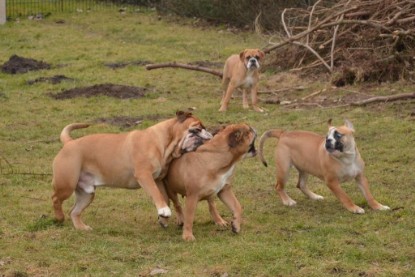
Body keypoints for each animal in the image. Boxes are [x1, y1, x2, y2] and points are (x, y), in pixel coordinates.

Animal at [52, 110, 213, 229]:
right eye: (198, 128)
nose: (209, 134)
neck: (164, 143)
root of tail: (70, 142)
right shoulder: (144, 175)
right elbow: (156, 193)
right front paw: (164, 211)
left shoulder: (158, 179)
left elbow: (164, 197)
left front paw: (163, 217)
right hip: (66, 184)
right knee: (55, 198)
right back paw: (59, 217)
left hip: (87, 193)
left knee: (74, 211)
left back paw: (82, 228)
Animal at [258, 119, 392, 213]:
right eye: (327, 137)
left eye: (338, 135)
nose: (327, 141)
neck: (346, 158)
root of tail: (283, 133)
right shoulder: (332, 182)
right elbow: (345, 197)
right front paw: (354, 208)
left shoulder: (361, 178)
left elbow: (369, 195)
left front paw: (378, 206)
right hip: (284, 169)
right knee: (278, 186)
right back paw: (288, 201)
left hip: (304, 168)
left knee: (301, 184)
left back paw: (314, 196)